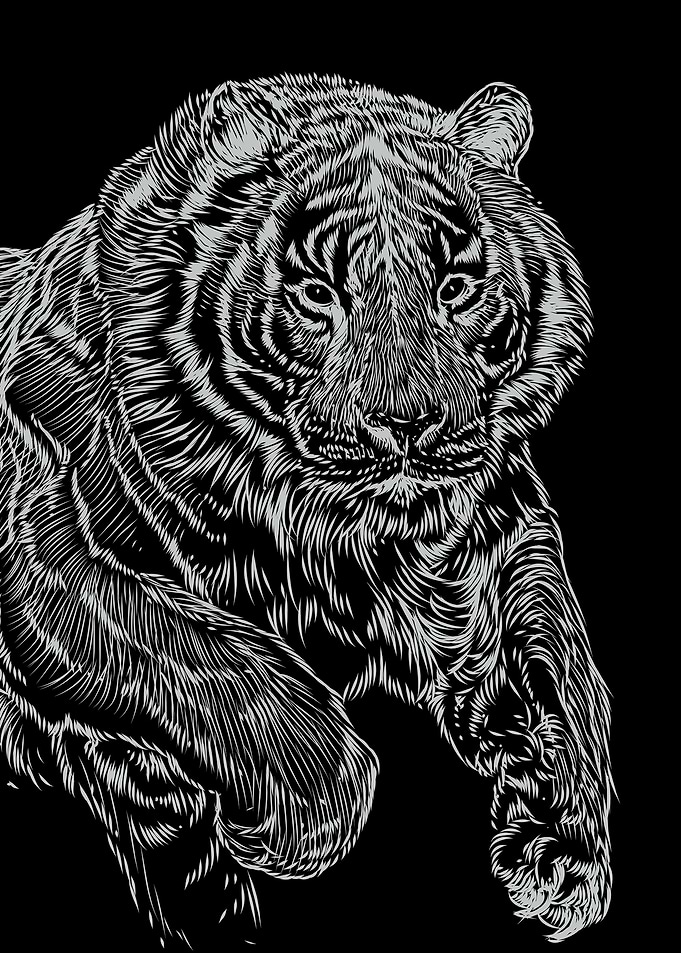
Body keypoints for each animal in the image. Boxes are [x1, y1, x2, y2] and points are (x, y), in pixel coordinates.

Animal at [0, 75, 613, 947]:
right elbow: (217, 666)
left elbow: (560, 664)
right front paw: (271, 828)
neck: (356, 534)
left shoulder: (501, 528)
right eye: (318, 293)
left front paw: (563, 851)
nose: (408, 425)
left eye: (454, 287)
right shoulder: (51, 550)